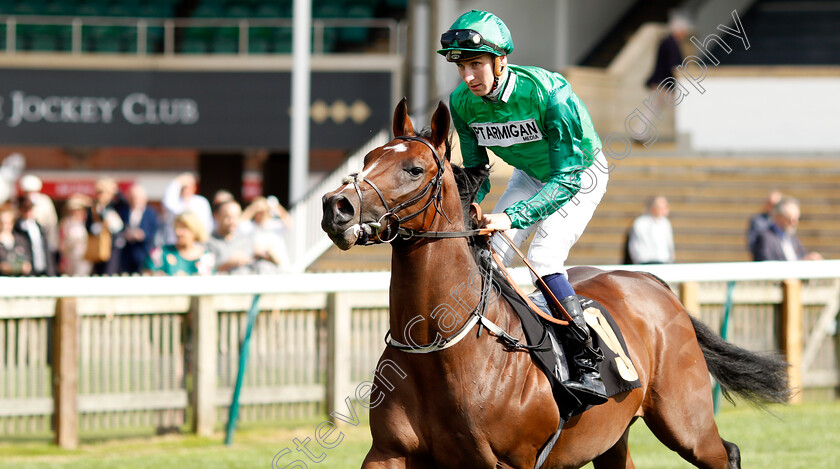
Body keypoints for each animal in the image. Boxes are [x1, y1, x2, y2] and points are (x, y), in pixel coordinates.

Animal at [320, 97, 788, 466]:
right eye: (367, 160)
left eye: (414, 169)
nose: (336, 206)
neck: (440, 348)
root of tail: (650, 280)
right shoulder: (387, 452)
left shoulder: (511, 462)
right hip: (611, 438)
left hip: (685, 421)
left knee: (725, 452)